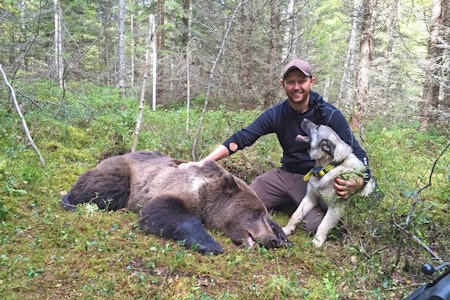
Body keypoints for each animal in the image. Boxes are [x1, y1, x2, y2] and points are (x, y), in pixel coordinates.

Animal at [61, 152, 290, 253]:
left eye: (265, 214)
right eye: (255, 213)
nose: (271, 239)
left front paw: (284, 236)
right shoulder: (178, 187)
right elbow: (162, 210)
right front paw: (209, 243)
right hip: (122, 174)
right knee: (103, 188)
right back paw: (69, 200)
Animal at [284, 118, 374, 247]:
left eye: (317, 128)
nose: (304, 119)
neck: (327, 167)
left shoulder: (335, 208)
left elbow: (323, 225)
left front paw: (317, 241)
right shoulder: (310, 198)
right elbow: (296, 214)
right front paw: (287, 229)